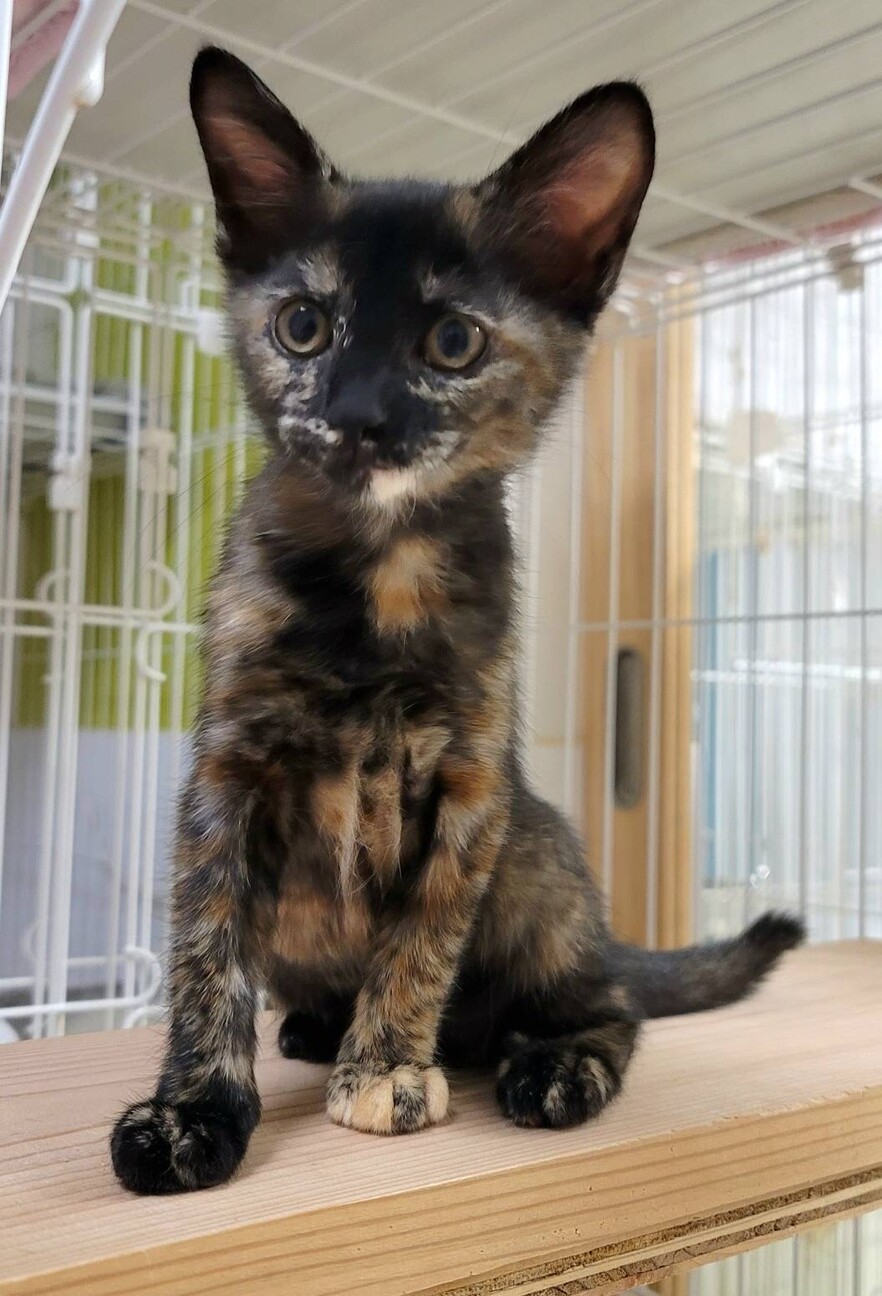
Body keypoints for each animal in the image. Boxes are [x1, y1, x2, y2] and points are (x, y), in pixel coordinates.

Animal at [110, 47, 804, 1194]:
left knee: (610, 1003)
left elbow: (422, 935)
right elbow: (207, 954)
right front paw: (192, 1108)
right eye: (304, 325)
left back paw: (553, 1061)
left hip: (534, 859)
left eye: (452, 342)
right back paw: (315, 1028)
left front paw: (387, 1066)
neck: (379, 577)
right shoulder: (224, 774)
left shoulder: (473, 784)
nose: (358, 416)